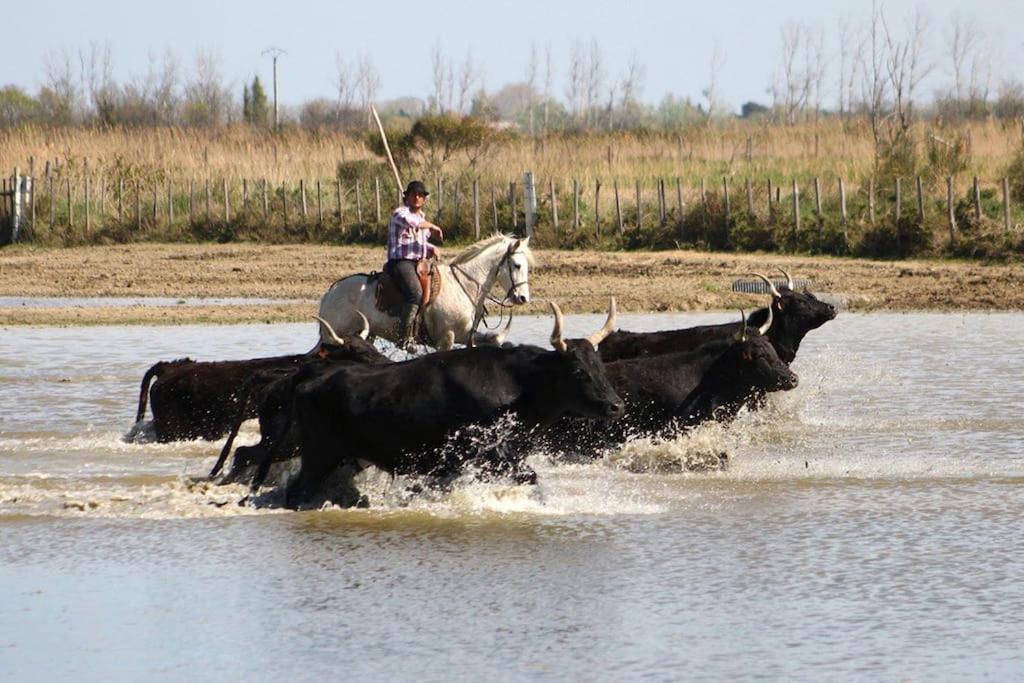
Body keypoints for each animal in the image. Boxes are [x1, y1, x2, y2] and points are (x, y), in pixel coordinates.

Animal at [317, 233, 533, 350]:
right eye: (517, 265)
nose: (523, 298)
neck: (463, 285)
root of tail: (331, 293)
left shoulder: (464, 335)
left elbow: (493, 339)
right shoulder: (446, 338)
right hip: (333, 334)